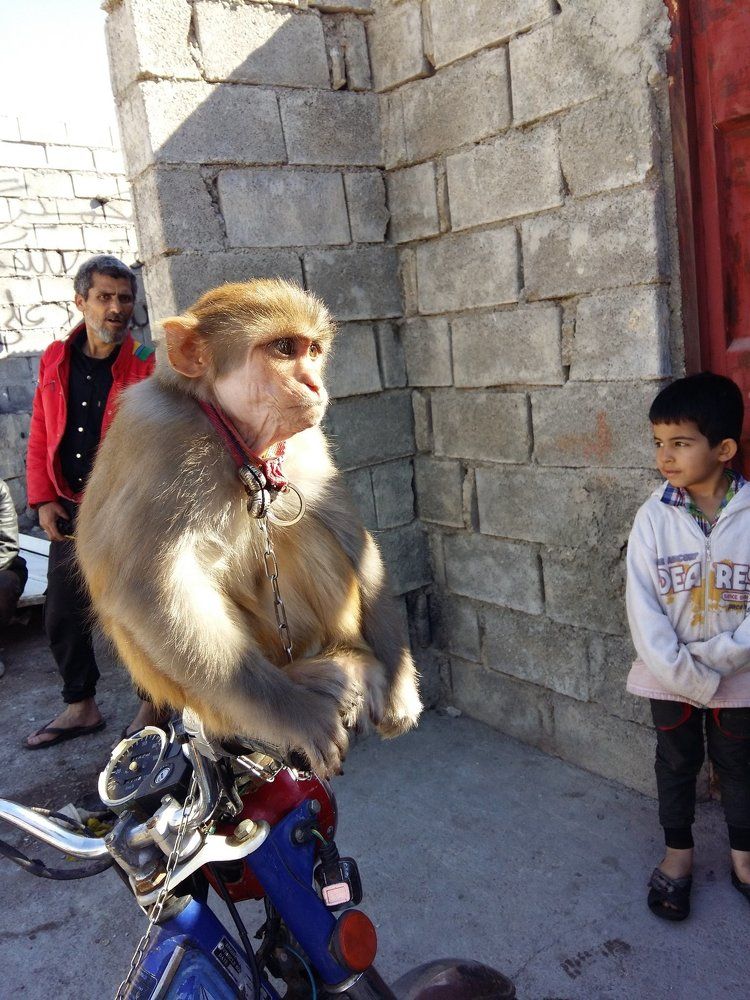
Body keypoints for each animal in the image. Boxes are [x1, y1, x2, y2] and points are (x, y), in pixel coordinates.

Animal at [75, 279, 422, 776]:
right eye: (283, 348)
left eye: (312, 349)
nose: (314, 382)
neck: (233, 438)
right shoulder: (161, 438)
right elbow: (146, 590)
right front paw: (298, 715)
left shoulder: (302, 439)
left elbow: (345, 526)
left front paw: (398, 682)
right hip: (219, 698)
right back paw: (302, 682)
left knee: (306, 530)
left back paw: (344, 657)